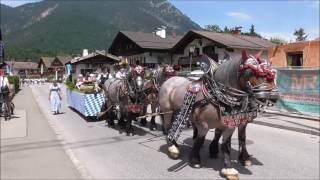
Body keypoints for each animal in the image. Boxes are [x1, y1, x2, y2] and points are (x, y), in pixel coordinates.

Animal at [159, 50, 278, 179]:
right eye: (251, 72)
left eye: (272, 73)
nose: (274, 97)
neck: (217, 96)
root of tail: (170, 79)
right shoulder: (203, 124)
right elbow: (200, 139)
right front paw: (195, 160)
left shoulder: (233, 123)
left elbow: (231, 143)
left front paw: (229, 167)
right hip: (167, 110)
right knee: (168, 126)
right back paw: (172, 147)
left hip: (178, 110)